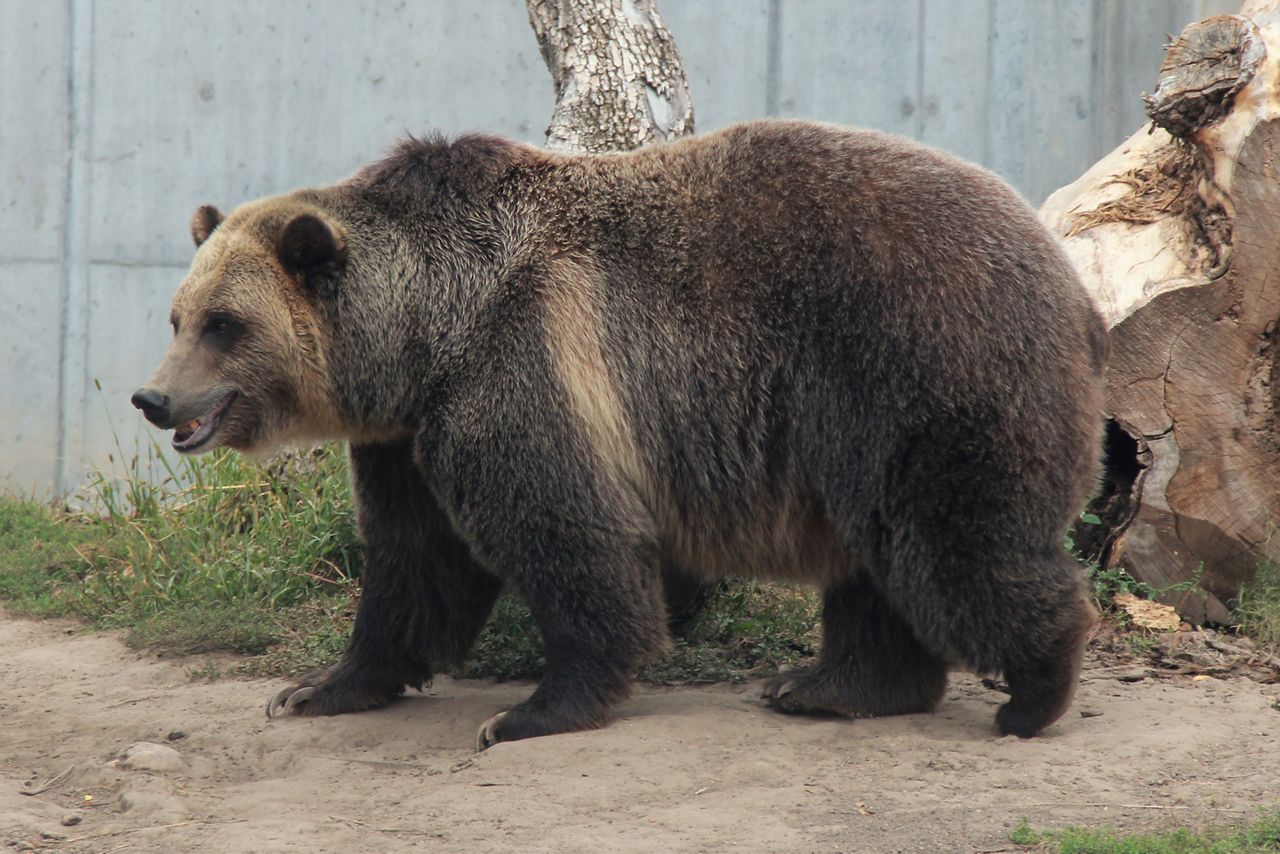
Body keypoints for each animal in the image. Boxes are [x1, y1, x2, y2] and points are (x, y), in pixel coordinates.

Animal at [132, 120, 1111, 747]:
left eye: (225, 324)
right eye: (177, 316)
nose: (153, 398)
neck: (426, 335)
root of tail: (1070, 279)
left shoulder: (520, 369)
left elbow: (569, 539)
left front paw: (524, 712)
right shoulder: (407, 437)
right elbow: (414, 563)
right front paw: (317, 689)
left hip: (920, 365)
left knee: (953, 539)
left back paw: (1031, 693)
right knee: (878, 564)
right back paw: (827, 686)